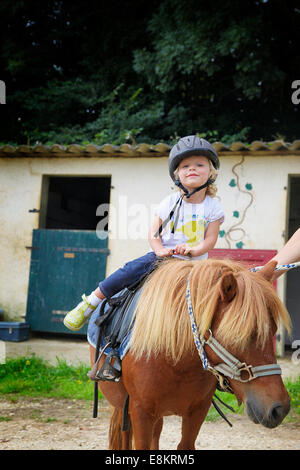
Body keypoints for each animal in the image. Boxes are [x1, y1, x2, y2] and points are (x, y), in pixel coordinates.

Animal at [89, 258, 290, 450]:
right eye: (242, 335)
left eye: (274, 331)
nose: (280, 408)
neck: (177, 362)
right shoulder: (140, 410)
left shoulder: (198, 410)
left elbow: (184, 444)